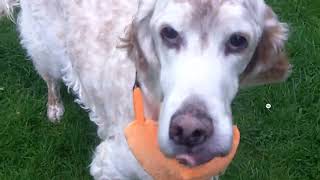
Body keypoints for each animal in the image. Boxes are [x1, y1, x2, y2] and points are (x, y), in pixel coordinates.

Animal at [0, 0, 292, 179]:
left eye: (238, 40)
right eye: (169, 33)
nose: (190, 130)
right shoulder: (109, 166)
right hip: (43, 46)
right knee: (50, 79)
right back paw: (55, 108)